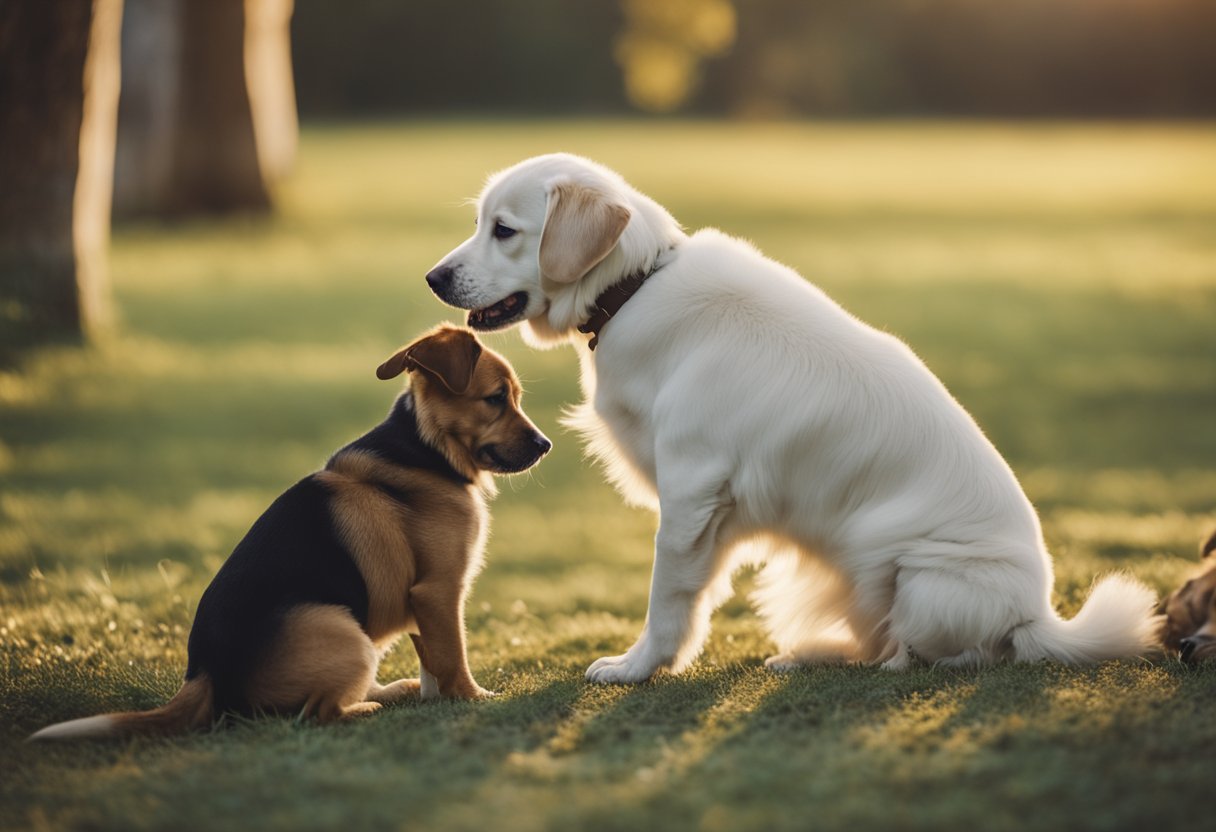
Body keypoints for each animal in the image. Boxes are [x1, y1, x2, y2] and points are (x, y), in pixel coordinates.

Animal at [29, 325, 552, 739]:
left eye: (515, 398)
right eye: (495, 399)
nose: (545, 445)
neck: (426, 448)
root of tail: (204, 675)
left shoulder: (425, 603)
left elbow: (433, 662)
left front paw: (435, 696)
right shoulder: (439, 592)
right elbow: (452, 658)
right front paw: (474, 699)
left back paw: (391, 692)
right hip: (343, 631)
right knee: (315, 713)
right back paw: (368, 707)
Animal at [425, 150, 1157, 681]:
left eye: (504, 230)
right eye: (480, 223)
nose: (434, 278)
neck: (634, 287)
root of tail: (1038, 615)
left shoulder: (691, 489)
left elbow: (667, 597)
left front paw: (636, 668)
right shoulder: (711, 513)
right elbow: (693, 600)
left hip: (920, 576)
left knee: (955, 654)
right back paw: (811, 652)